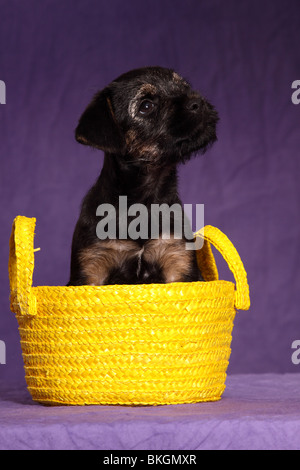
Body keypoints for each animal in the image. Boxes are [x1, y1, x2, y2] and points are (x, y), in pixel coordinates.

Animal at [68, 66, 218, 286]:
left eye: (184, 86)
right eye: (146, 106)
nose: (196, 101)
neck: (142, 202)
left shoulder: (177, 259)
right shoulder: (92, 268)